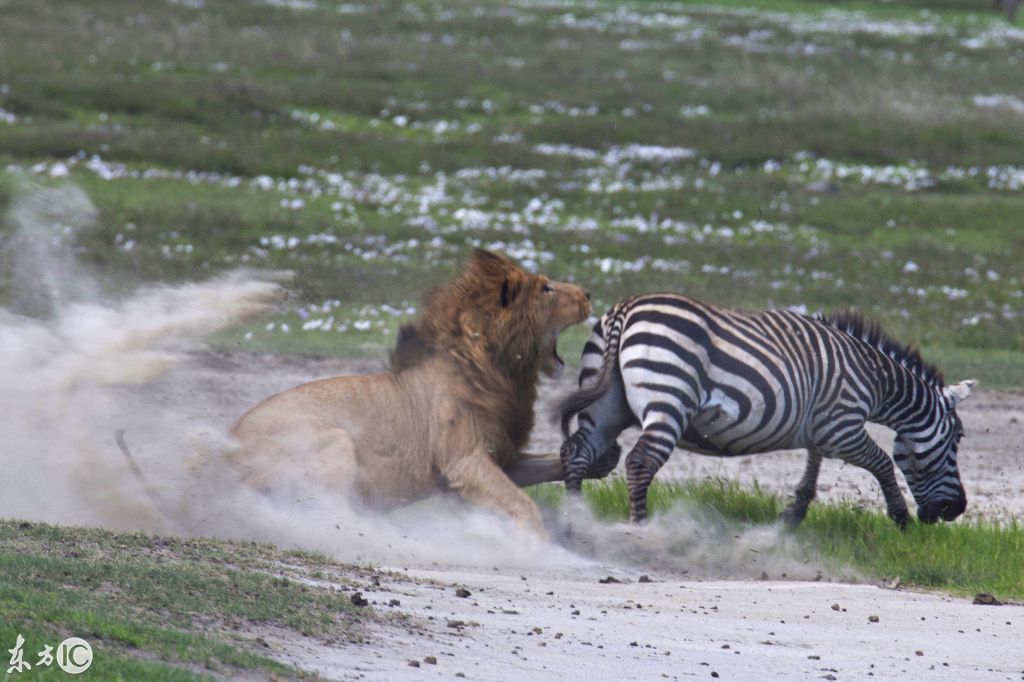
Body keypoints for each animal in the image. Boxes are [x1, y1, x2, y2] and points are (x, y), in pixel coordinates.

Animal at [228, 246, 602, 532]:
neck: (498, 370)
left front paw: (597, 459)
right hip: (334, 440)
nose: (588, 294)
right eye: (546, 289)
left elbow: (549, 462)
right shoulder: (464, 461)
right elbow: (525, 507)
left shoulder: (503, 457)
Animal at [561, 292, 974, 524]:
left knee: (576, 453)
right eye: (957, 440)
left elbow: (812, 467)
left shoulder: (819, 426)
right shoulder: (842, 427)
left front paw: (793, 516)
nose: (956, 510)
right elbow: (883, 464)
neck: (873, 380)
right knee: (640, 462)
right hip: (668, 401)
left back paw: (577, 522)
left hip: (606, 407)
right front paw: (900, 519)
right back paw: (642, 529)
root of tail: (624, 310)